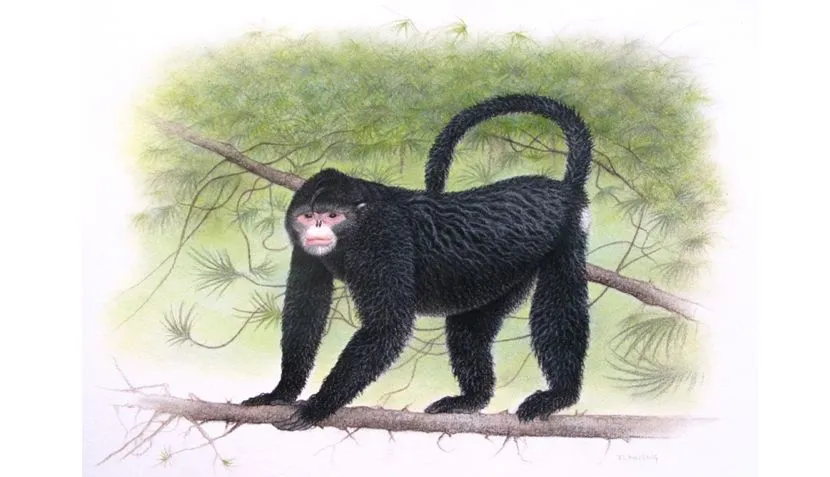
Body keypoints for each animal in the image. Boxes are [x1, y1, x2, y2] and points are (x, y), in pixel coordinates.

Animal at [241, 94, 592, 431]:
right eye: (308, 216)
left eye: (332, 216)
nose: (316, 229)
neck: (359, 224)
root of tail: (563, 189)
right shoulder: (304, 249)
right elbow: (305, 312)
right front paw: (281, 393)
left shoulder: (384, 236)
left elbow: (387, 326)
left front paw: (318, 407)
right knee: (468, 326)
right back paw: (472, 398)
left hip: (567, 234)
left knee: (558, 298)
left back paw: (559, 395)